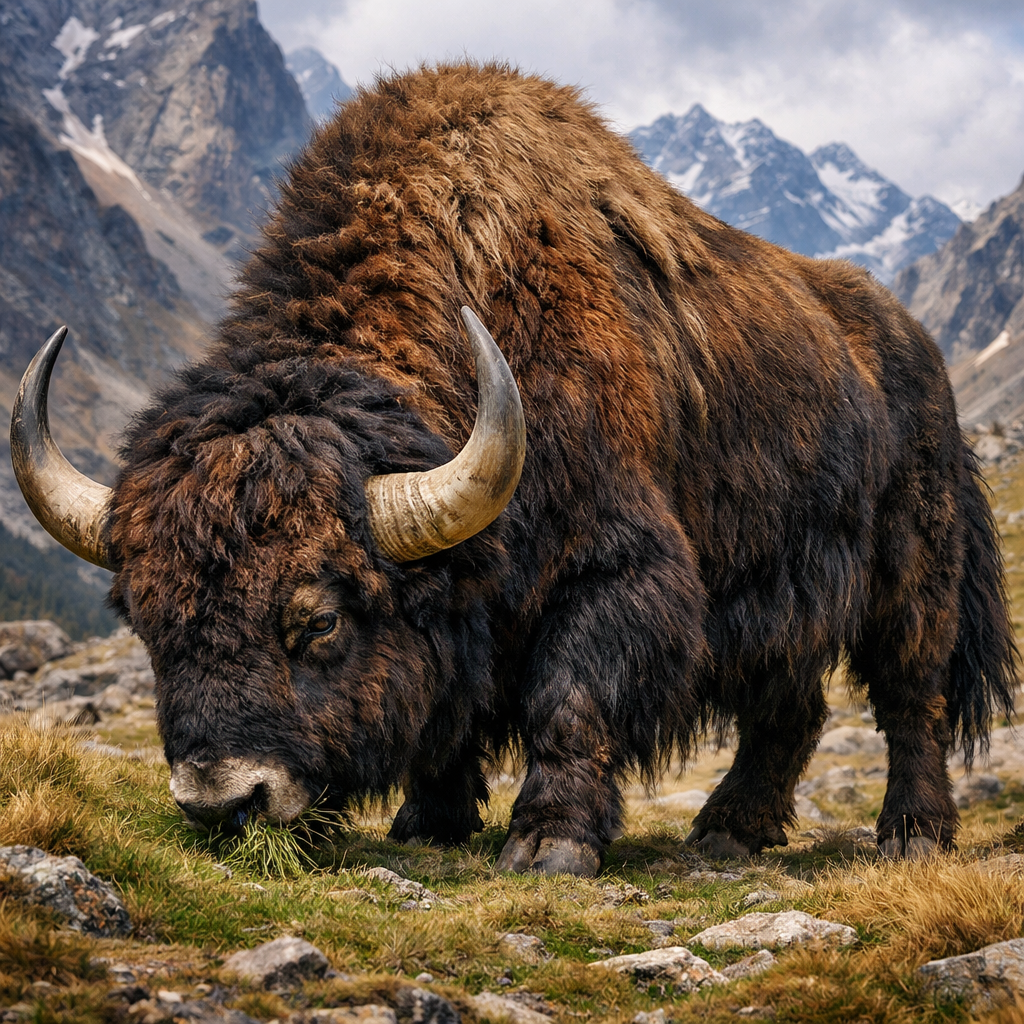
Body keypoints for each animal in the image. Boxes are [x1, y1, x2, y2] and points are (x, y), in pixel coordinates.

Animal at [11, 63, 1018, 876]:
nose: (223, 806)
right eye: (147, 624)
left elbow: (567, 698)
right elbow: (448, 714)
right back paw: (727, 831)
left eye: (319, 621)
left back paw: (911, 835)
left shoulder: (613, 570)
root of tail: (913, 345)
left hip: (911, 569)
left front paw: (549, 845)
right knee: (791, 706)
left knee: (912, 693)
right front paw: (428, 821)